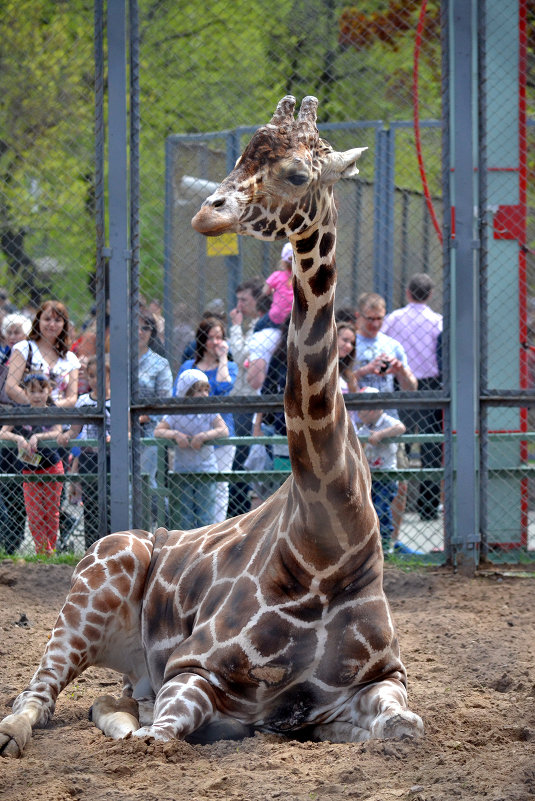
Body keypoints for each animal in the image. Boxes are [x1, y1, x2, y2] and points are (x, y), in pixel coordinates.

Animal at [1, 95, 428, 756]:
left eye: (297, 174)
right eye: (236, 160)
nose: (207, 212)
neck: (327, 543)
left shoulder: (369, 685)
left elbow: (406, 727)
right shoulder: (194, 667)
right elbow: (160, 737)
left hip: (131, 660)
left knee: (110, 698)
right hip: (101, 571)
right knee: (37, 697)